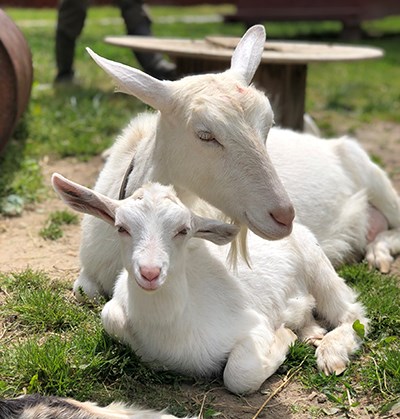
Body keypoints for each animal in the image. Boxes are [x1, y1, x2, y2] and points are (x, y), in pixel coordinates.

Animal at [52, 175, 368, 398]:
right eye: (121, 227)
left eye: (183, 230)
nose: (150, 272)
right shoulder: (113, 313)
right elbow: (111, 316)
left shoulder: (253, 325)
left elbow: (239, 376)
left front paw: (284, 338)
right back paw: (312, 334)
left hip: (317, 263)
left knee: (353, 313)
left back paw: (330, 353)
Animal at [74, 25, 400, 298]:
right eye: (205, 135)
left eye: (268, 124)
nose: (284, 216)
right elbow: (84, 290)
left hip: (375, 178)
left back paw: (378, 253)